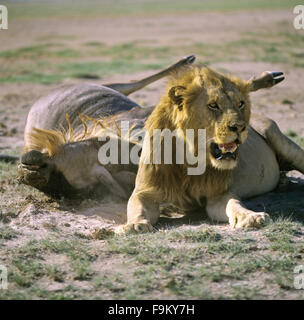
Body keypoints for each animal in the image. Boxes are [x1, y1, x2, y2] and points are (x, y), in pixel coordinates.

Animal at [117, 64, 304, 232]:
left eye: (241, 104)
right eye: (213, 105)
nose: (240, 127)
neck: (190, 157)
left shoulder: (219, 194)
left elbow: (234, 204)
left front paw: (251, 216)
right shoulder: (145, 191)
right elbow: (136, 207)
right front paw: (134, 225)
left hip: (278, 137)